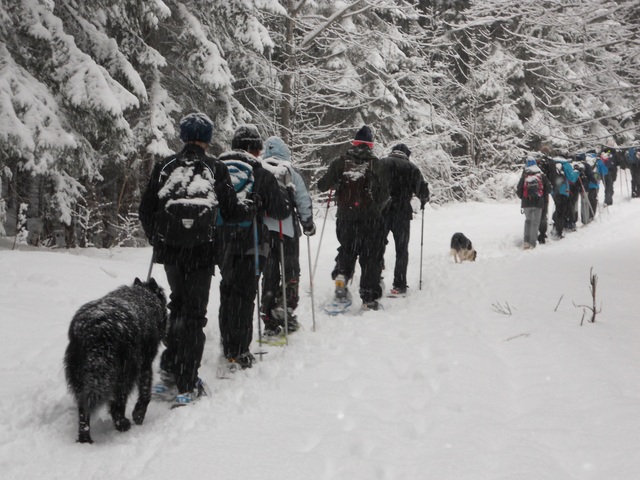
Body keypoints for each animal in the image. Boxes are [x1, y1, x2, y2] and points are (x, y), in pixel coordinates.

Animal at [63, 278, 165, 446]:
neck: (145, 296)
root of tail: (98, 329)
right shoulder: (145, 364)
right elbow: (145, 392)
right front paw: (138, 414)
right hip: (125, 373)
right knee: (117, 403)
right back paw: (122, 424)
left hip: (80, 374)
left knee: (84, 407)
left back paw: (85, 439)